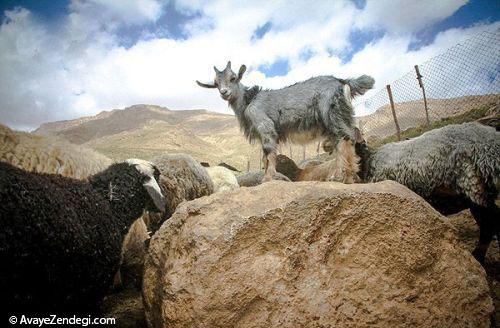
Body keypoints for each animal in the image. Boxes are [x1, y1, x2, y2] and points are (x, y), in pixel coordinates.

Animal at [197, 59, 374, 182]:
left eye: (233, 78)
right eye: (216, 83)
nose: (224, 92)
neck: (249, 100)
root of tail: (344, 81)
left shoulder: (266, 126)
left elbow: (268, 154)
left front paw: (267, 179)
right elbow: (264, 157)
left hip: (332, 113)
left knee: (344, 138)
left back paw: (338, 176)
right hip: (340, 116)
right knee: (351, 136)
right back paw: (350, 175)